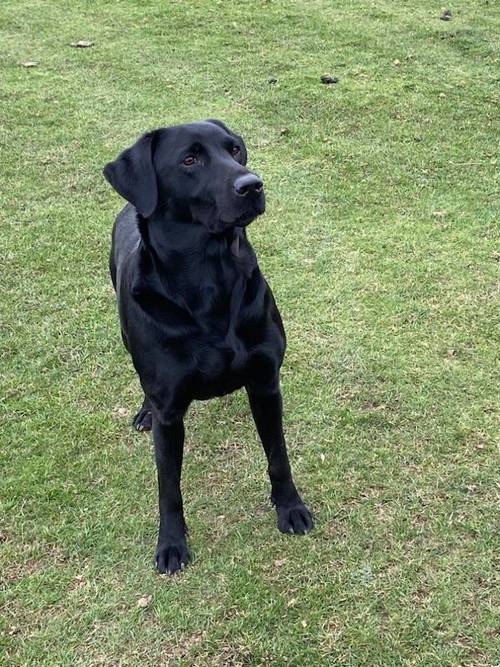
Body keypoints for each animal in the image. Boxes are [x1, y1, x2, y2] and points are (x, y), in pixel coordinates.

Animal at [103, 120, 312, 576]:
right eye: (189, 160)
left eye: (235, 150)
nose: (252, 185)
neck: (209, 277)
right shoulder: (170, 414)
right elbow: (168, 485)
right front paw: (171, 544)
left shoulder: (265, 384)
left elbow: (278, 455)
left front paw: (290, 508)